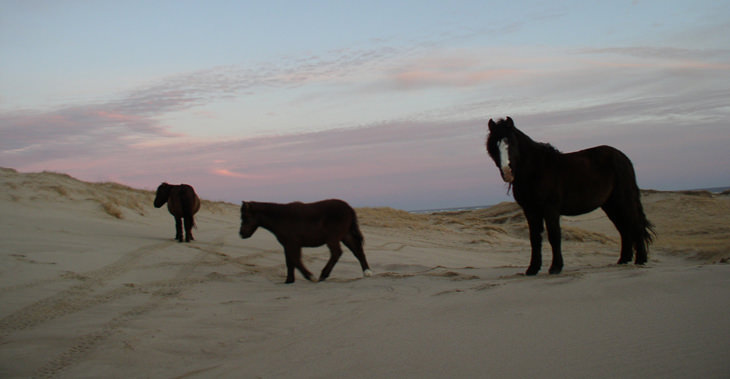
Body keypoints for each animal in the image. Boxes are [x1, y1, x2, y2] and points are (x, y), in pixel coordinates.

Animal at [239, 200, 372, 284]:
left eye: (245, 217)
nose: (241, 234)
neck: (281, 218)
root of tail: (349, 209)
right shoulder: (288, 245)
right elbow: (289, 262)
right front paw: (289, 280)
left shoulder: (293, 243)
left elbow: (295, 260)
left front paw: (310, 276)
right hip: (346, 235)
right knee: (357, 251)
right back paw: (367, 272)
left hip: (333, 238)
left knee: (337, 253)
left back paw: (323, 275)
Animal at [486, 117, 652, 274]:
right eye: (494, 145)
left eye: (510, 142)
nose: (507, 172)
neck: (535, 170)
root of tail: (623, 157)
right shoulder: (530, 210)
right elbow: (534, 238)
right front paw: (532, 269)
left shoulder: (550, 209)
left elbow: (554, 236)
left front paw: (555, 267)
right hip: (610, 204)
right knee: (624, 229)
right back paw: (624, 259)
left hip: (623, 200)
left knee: (635, 225)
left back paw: (640, 259)